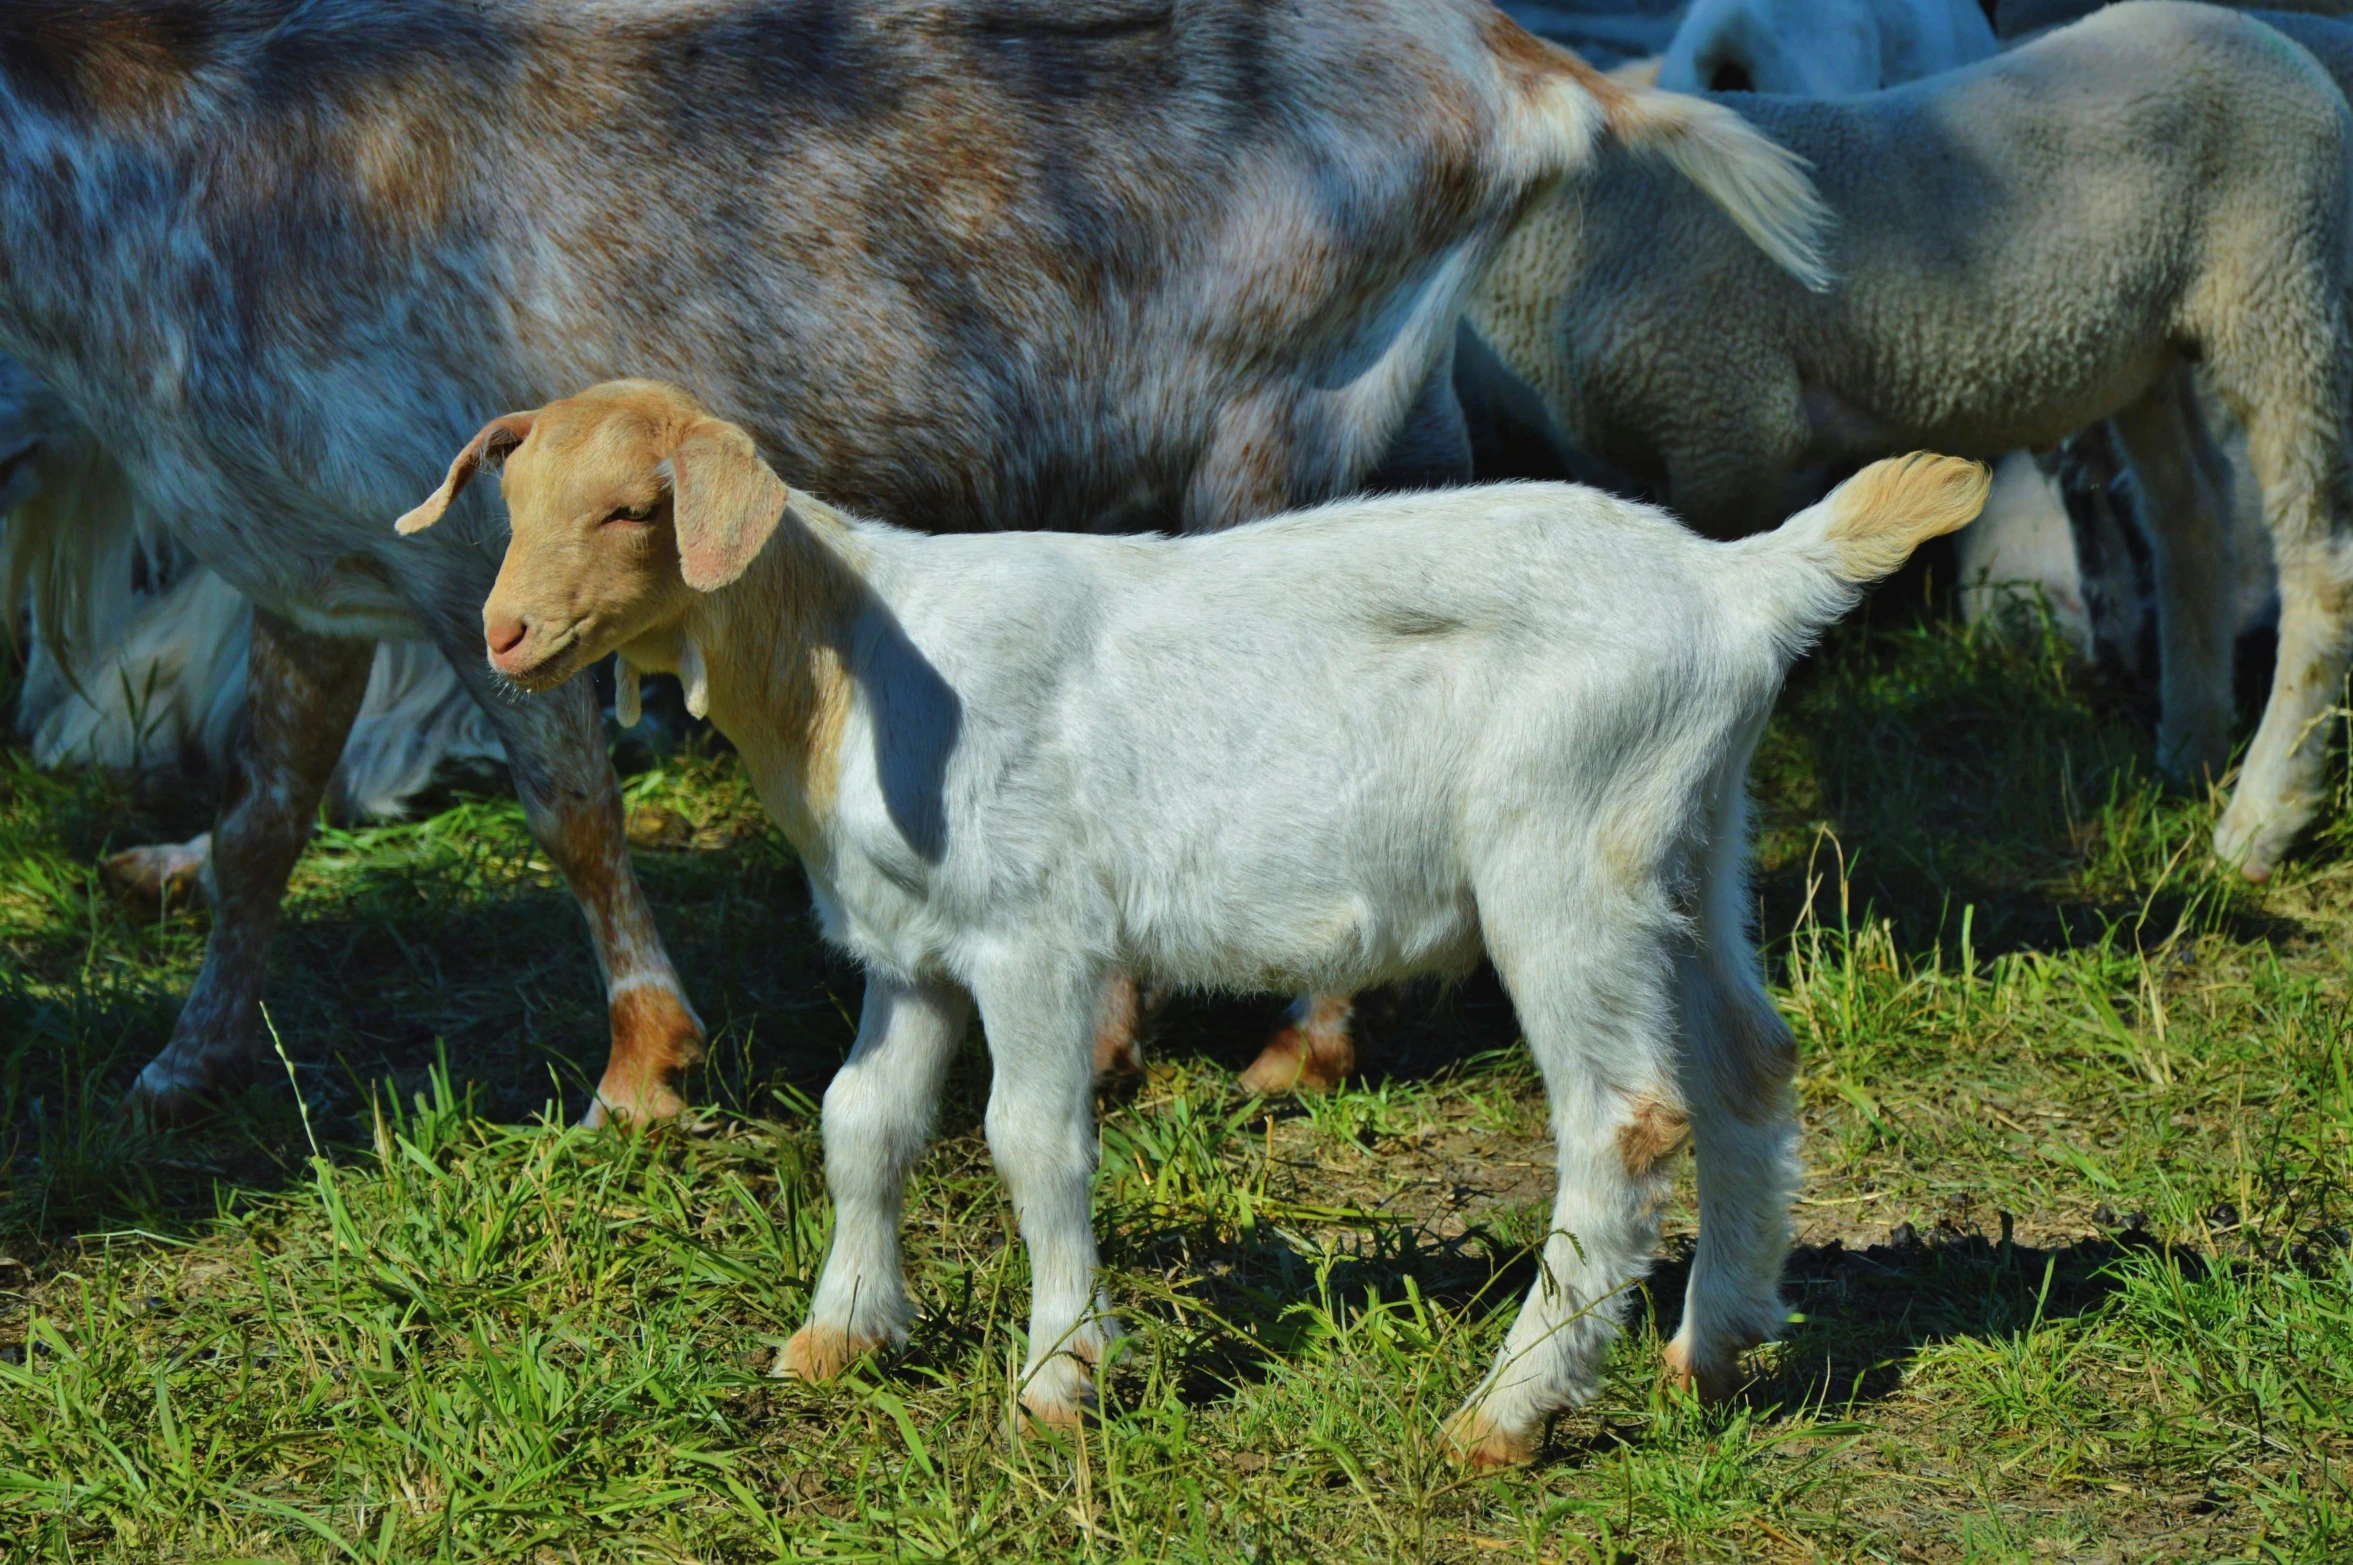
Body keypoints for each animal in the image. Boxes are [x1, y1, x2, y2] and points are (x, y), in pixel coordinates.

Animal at [0, 0, 1825, 1124]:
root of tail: (1514, 63)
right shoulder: (304, 570)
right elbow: (259, 830)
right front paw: (184, 1063)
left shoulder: (471, 579)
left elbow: (573, 814)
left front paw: (641, 1070)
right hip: (1400, 417)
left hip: (1273, 427)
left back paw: (1272, 1047)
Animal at [395, 376, 1995, 1449]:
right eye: (511, 505)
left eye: (632, 509)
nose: (506, 635)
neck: (848, 657)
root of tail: (1741, 582)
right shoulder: (913, 951)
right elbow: (865, 1123)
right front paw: (836, 1335)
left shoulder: (1032, 931)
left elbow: (1028, 1139)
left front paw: (1057, 1377)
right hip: (1684, 839)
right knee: (1748, 1064)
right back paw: (1711, 1348)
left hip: (1559, 853)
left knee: (1628, 1118)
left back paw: (1506, 1411)